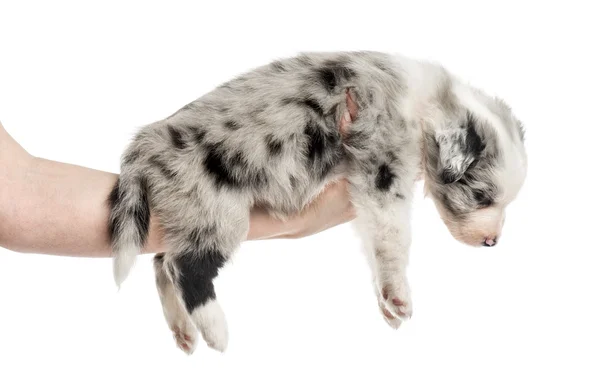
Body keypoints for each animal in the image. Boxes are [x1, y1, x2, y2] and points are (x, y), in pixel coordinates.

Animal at [109, 51, 528, 354]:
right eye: (481, 196)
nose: (492, 242)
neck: (425, 103)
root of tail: (145, 145)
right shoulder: (383, 171)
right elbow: (394, 237)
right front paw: (399, 297)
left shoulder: (364, 192)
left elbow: (375, 245)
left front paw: (386, 304)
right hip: (217, 209)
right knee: (185, 267)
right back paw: (215, 330)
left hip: (183, 210)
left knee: (161, 263)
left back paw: (183, 331)